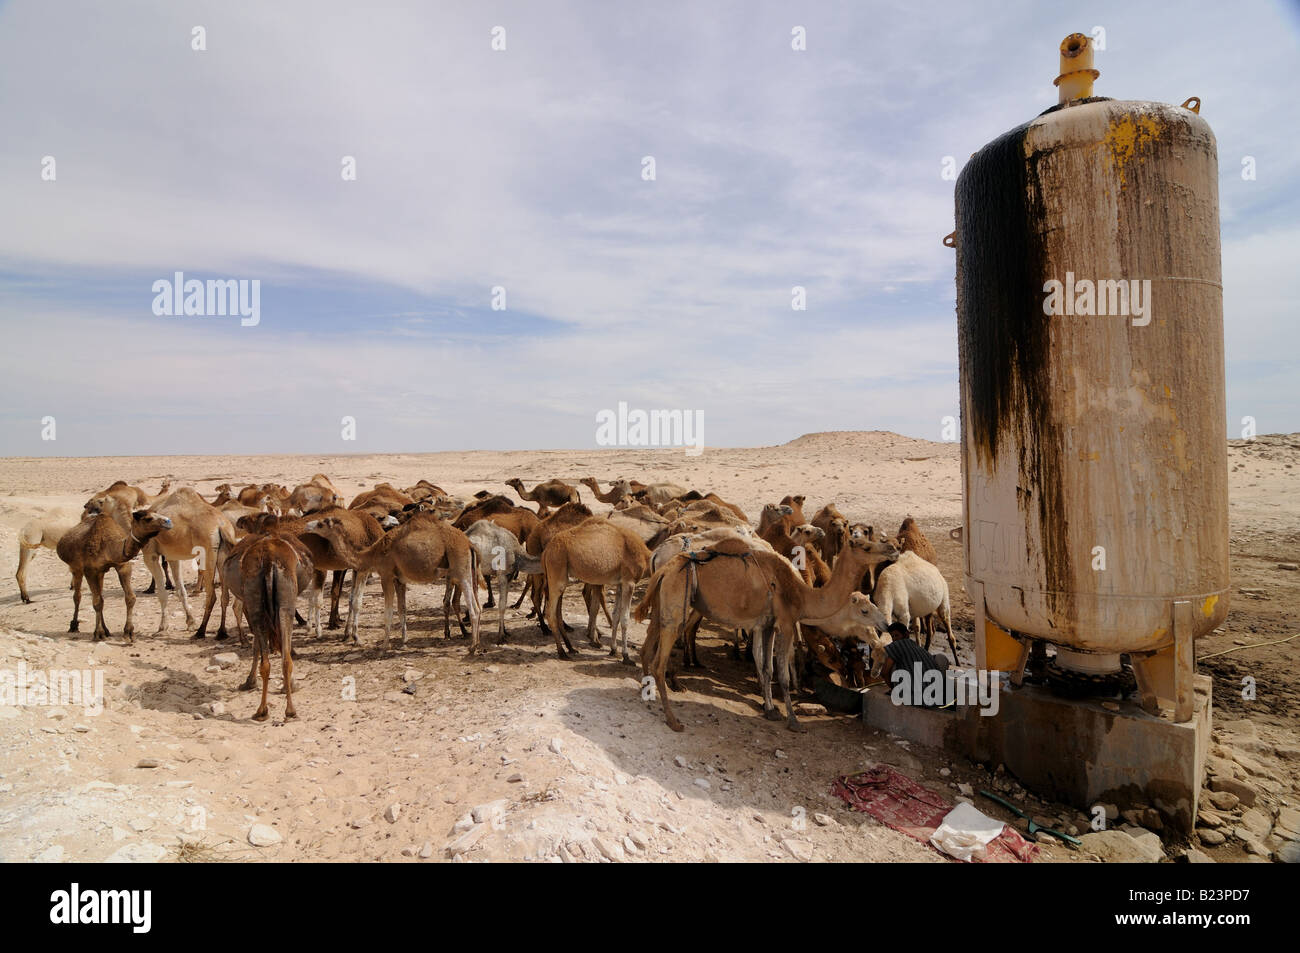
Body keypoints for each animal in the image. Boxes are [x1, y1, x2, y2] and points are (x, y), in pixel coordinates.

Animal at [54, 501, 172, 642]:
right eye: (148, 518)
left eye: (157, 513)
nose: (168, 521)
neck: (109, 546)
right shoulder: (90, 571)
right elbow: (96, 602)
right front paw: (98, 634)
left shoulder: (122, 566)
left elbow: (130, 598)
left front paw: (129, 633)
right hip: (76, 568)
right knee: (78, 596)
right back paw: (74, 626)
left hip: (100, 573)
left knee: (99, 596)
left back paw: (106, 630)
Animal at [235, 538, 302, 717]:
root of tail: (268, 561)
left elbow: (257, 647)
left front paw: (249, 682)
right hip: (285, 603)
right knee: (283, 658)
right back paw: (282, 710)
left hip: (258, 604)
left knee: (271, 661)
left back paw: (265, 710)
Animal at [538, 517, 650, 657]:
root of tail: (546, 551)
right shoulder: (629, 582)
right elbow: (624, 619)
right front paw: (625, 656)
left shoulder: (620, 584)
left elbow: (616, 616)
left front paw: (614, 650)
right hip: (557, 571)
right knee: (551, 612)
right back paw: (562, 652)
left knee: (557, 610)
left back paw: (571, 648)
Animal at [634, 530, 899, 733]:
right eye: (865, 546)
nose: (894, 548)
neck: (801, 593)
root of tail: (663, 566)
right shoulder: (786, 622)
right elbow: (781, 672)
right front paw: (793, 720)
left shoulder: (766, 624)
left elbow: (765, 667)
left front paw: (770, 709)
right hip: (677, 601)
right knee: (659, 660)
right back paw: (673, 719)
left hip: (663, 602)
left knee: (647, 648)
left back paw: (647, 694)